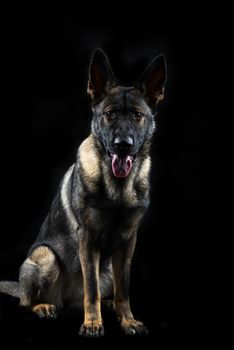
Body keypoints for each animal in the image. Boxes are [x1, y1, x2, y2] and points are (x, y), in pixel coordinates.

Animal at [0, 48, 166, 336]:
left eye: (137, 115)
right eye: (109, 114)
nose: (123, 145)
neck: (117, 188)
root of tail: (64, 299)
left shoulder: (128, 242)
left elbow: (124, 289)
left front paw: (127, 320)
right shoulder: (87, 239)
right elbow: (91, 289)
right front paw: (92, 323)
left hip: (107, 269)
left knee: (95, 293)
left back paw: (107, 307)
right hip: (45, 257)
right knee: (27, 301)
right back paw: (44, 307)